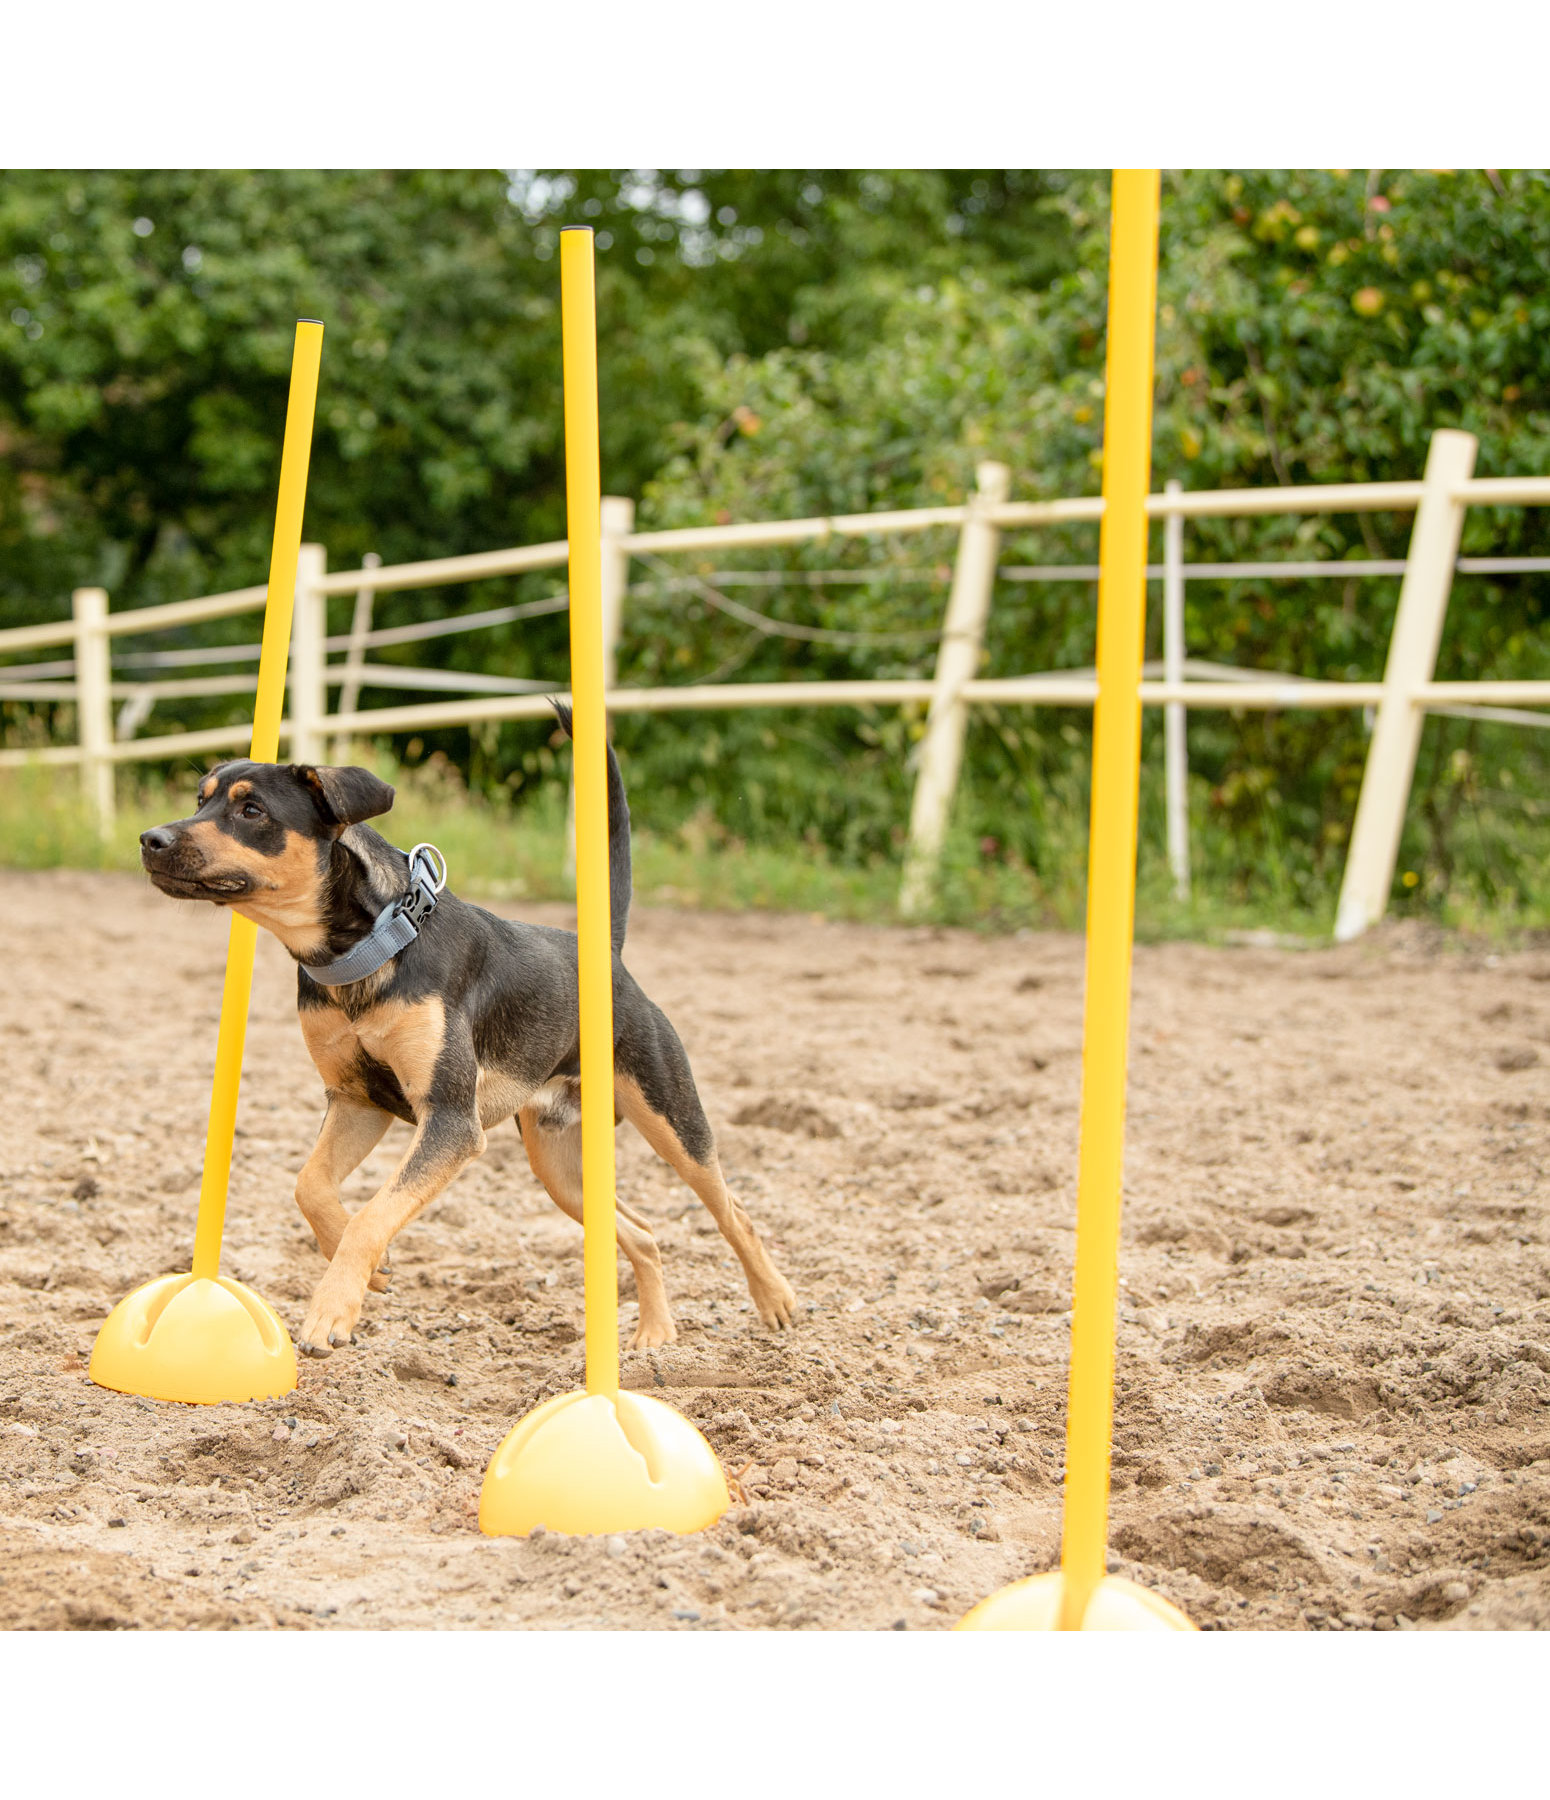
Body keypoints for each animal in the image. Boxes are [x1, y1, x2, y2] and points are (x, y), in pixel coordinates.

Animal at [137, 709, 792, 1353]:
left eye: (252, 811)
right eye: (200, 800)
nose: (150, 840)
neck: (371, 947)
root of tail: (608, 955)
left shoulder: (450, 1121)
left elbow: (373, 1215)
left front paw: (332, 1310)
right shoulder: (356, 1101)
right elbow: (312, 1187)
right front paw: (370, 1270)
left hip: (671, 1119)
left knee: (734, 1212)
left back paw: (775, 1302)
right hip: (558, 1164)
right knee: (644, 1232)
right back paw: (655, 1333)